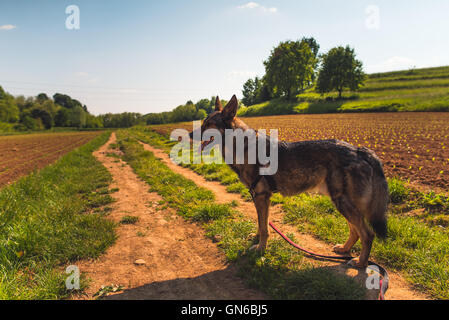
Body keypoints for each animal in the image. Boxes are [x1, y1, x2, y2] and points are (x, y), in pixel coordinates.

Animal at [190, 94, 388, 268]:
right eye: (203, 123)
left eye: (208, 124)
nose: (190, 134)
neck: (241, 146)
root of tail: (361, 150)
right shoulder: (258, 197)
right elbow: (261, 223)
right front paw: (256, 240)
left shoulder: (261, 196)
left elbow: (264, 228)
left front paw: (260, 249)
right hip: (341, 203)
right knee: (355, 231)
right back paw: (345, 249)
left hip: (343, 203)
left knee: (367, 234)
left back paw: (361, 263)